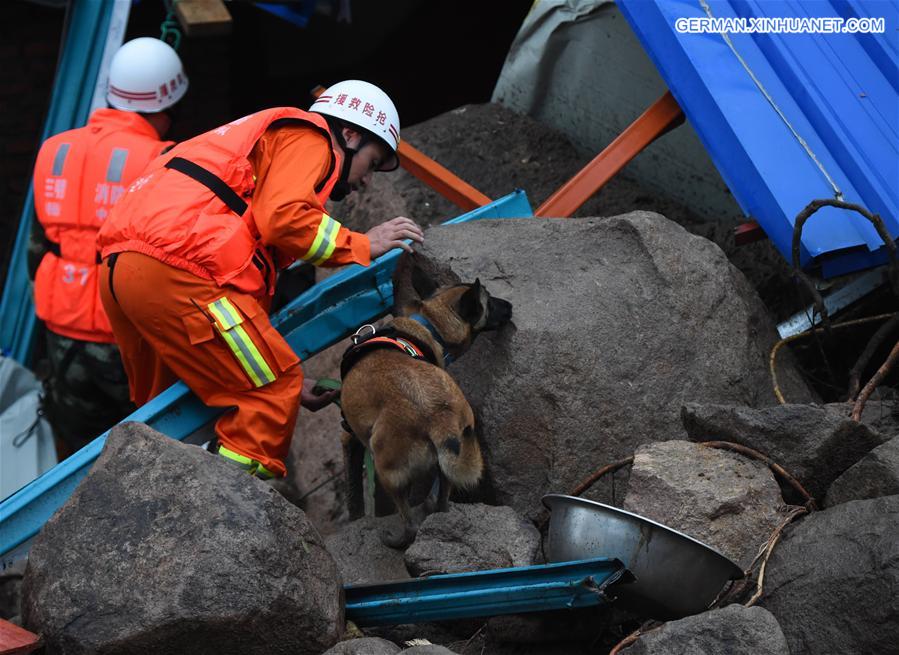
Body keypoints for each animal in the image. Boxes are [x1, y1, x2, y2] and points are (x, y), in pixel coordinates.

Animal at [342, 266, 512, 548]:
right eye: (490, 302)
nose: (510, 305)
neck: (428, 324)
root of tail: (436, 417)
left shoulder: (349, 437)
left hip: (387, 472)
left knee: (409, 523)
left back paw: (395, 540)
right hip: (450, 464)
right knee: (441, 501)